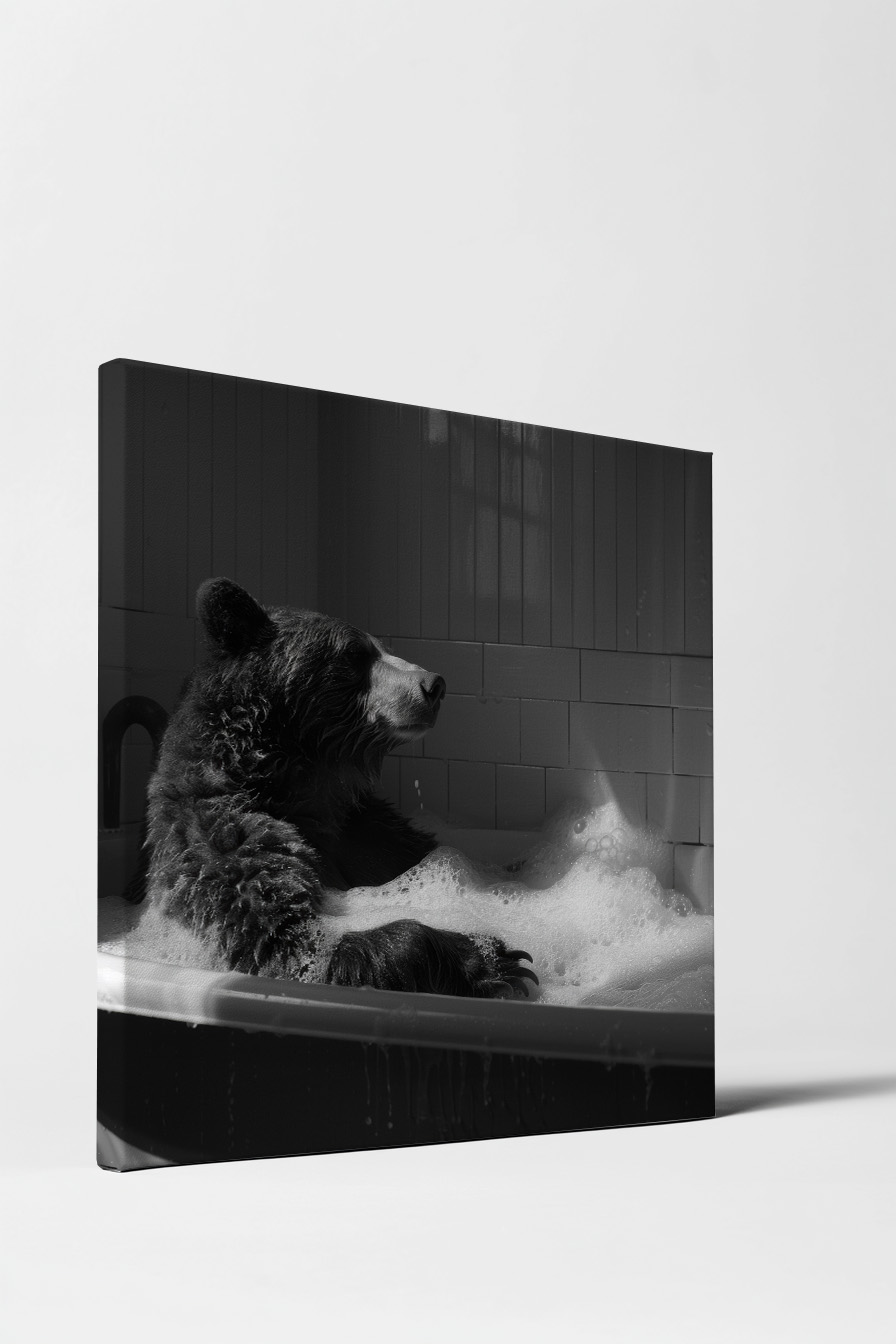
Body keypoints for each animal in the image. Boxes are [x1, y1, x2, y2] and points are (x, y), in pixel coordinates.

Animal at [143, 578, 537, 999]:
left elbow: (429, 856)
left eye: (382, 646)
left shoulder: (367, 831)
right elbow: (292, 944)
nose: (434, 684)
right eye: (355, 653)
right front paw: (489, 957)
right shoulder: (224, 841)